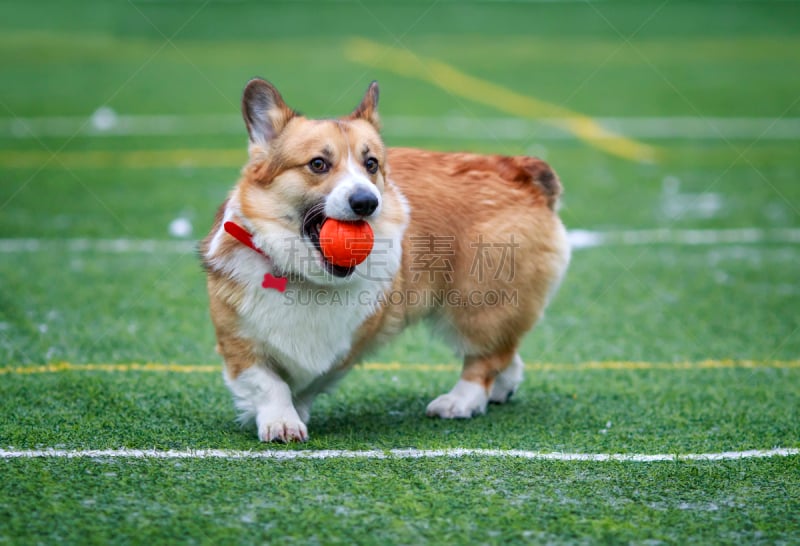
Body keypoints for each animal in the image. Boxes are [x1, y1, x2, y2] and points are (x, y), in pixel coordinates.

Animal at [203, 78, 572, 440]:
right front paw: (281, 420)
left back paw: (459, 402)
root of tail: (521, 170)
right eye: (318, 164)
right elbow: (269, 383)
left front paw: (291, 415)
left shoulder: (346, 342)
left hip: (477, 302)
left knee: (485, 356)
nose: (366, 201)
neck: (306, 276)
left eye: (371, 164)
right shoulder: (237, 342)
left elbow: (305, 382)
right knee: (505, 352)